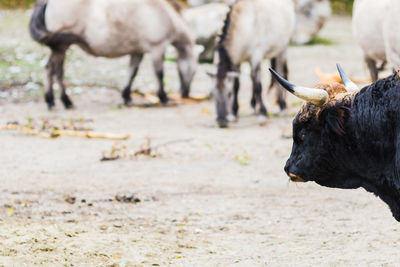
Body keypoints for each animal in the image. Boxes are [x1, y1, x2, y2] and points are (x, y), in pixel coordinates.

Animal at [28, 0, 197, 109]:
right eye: (194, 72)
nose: (185, 93)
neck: (164, 14)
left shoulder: (137, 52)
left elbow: (132, 73)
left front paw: (127, 96)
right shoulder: (157, 48)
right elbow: (159, 74)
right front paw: (164, 97)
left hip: (60, 47)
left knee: (55, 71)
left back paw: (60, 101)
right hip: (61, 47)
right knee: (53, 70)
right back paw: (57, 101)